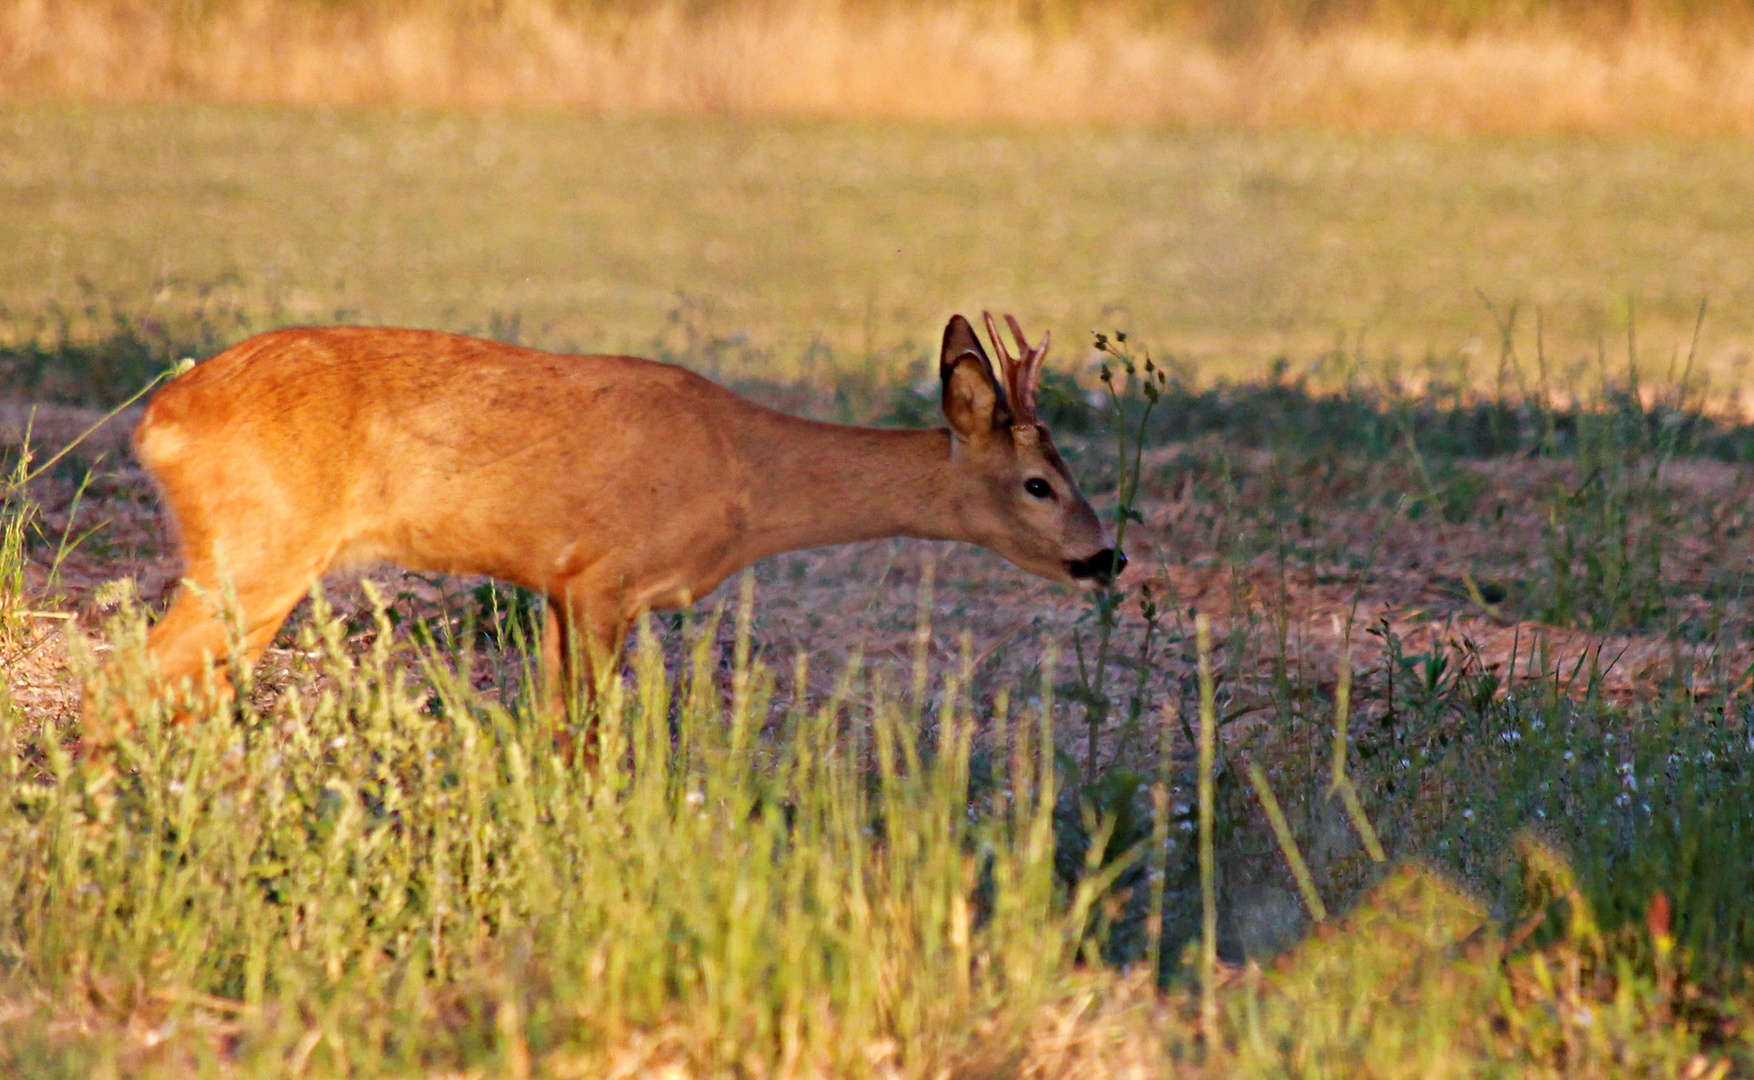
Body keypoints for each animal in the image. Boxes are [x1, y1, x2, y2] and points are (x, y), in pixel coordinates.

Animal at [106, 308, 1122, 739]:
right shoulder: (606, 579)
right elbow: (588, 737)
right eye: (1040, 483)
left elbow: (559, 726)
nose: (1106, 557)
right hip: (258, 549)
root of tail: (160, 421)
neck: (747, 476)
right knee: (130, 679)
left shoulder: (559, 586)